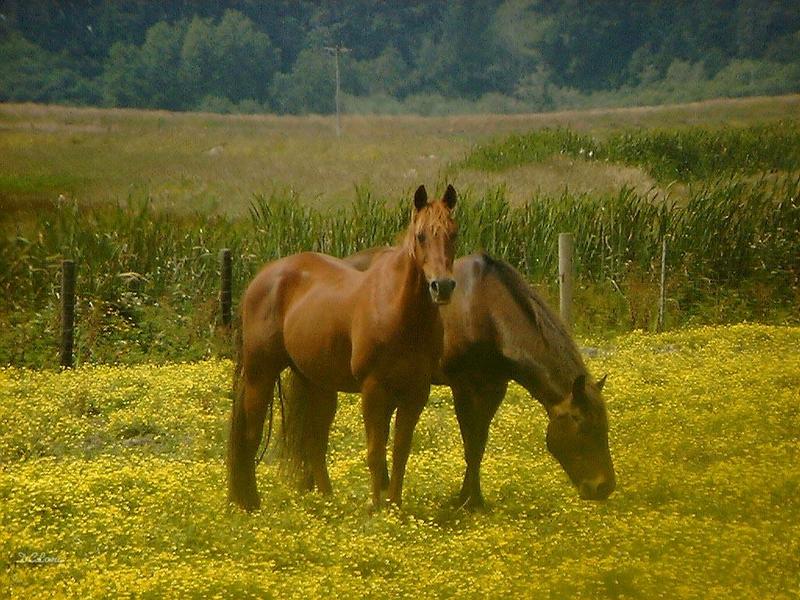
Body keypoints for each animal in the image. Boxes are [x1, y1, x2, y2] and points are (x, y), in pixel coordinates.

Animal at [228, 184, 460, 510]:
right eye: (421, 235)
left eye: (454, 234)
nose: (443, 286)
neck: (398, 309)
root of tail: (263, 277)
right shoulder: (374, 389)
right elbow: (375, 453)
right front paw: (376, 509)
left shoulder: (416, 392)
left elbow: (400, 453)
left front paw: (395, 508)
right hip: (260, 373)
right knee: (251, 434)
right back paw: (251, 504)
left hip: (316, 383)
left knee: (314, 442)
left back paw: (327, 502)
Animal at [284, 251, 616, 508]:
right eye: (585, 428)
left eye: (605, 427)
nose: (605, 487)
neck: (484, 307)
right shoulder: (464, 386)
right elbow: (470, 442)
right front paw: (465, 501)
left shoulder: (494, 387)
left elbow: (479, 444)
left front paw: (474, 499)